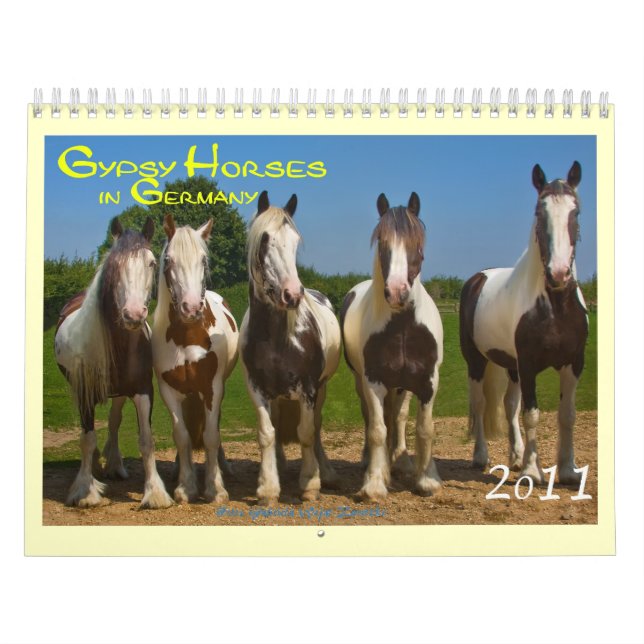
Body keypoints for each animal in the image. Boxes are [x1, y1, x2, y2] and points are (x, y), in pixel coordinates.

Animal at [54, 217, 173, 509]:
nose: (133, 314)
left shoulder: (143, 390)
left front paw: (154, 493)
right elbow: (87, 438)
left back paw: (115, 465)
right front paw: (85, 491)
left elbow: (146, 440)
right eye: (115, 265)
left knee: (115, 420)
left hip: (119, 394)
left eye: (151, 263)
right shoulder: (84, 393)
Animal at [151, 214, 239, 504]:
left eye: (204, 260)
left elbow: (211, 435)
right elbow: (182, 436)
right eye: (168, 260)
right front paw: (185, 487)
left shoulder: (213, 388)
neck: (188, 336)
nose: (191, 308)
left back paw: (224, 467)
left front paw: (215, 488)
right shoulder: (169, 390)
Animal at [240, 191, 341, 506]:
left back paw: (326, 473)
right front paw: (267, 488)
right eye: (264, 240)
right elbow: (266, 433)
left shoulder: (309, 388)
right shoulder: (256, 387)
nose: (293, 294)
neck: (277, 338)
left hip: (322, 388)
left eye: (295, 242)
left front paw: (310, 484)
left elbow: (306, 433)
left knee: (316, 427)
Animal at [341, 192, 444, 501]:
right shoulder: (373, 380)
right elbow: (377, 429)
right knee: (375, 419)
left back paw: (402, 460)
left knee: (398, 417)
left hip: (403, 386)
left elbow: (424, 428)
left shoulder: (428, 382)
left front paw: (427, 479)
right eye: (382, 243)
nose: (397, 292)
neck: (403, 329)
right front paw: (374, 483)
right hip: (363, 382)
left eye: (417, 244)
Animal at [459, 161, 588, 485]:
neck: (554, 307)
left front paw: (567, 470)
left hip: (511, 366)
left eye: (576, 212)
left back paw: (515, 457)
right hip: (477, 361)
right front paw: (533, 470)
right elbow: (532, 415)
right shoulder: (529, 365)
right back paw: (482, 456)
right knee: (481, 404)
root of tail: (478, 278)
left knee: (509, 405)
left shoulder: (573, 363)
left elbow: (567, 415)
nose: (558, 274)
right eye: (539, 213)